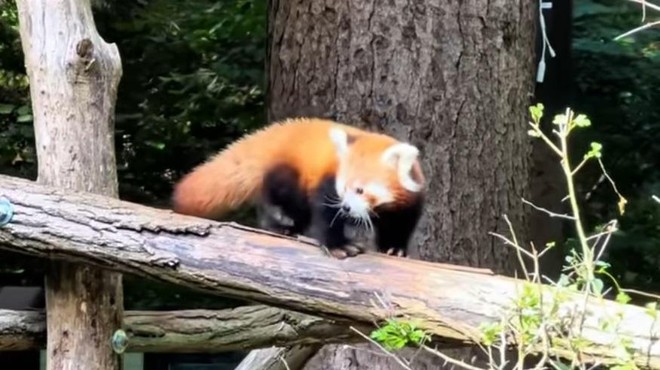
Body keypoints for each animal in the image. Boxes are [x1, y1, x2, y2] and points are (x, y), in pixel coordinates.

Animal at [173, 117, 426, 258]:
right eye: (343, 188)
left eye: (360, 190)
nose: (346, 208)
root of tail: (278, 134)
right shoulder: (326, 182)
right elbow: (326, 215)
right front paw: (338, 246)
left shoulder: (409, 202)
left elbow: (401, 224)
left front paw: (394, 249)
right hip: (288, 174)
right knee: (282, 200)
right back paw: (280, 226)